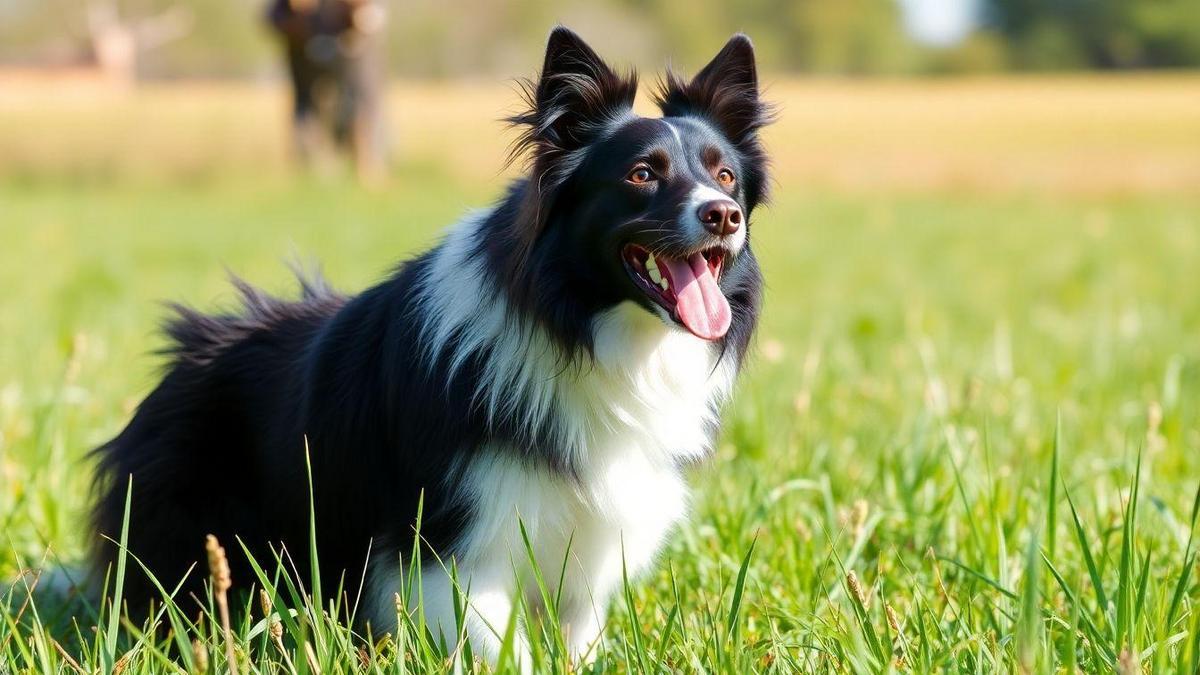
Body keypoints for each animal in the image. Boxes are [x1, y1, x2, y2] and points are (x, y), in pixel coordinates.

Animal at [91, 27, 768, 662]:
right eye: (642, 174)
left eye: (725, 175)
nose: (723, 214)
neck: (581, 328)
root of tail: (192, 343)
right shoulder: (458, 545)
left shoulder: (597, 542)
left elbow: (578, 638)